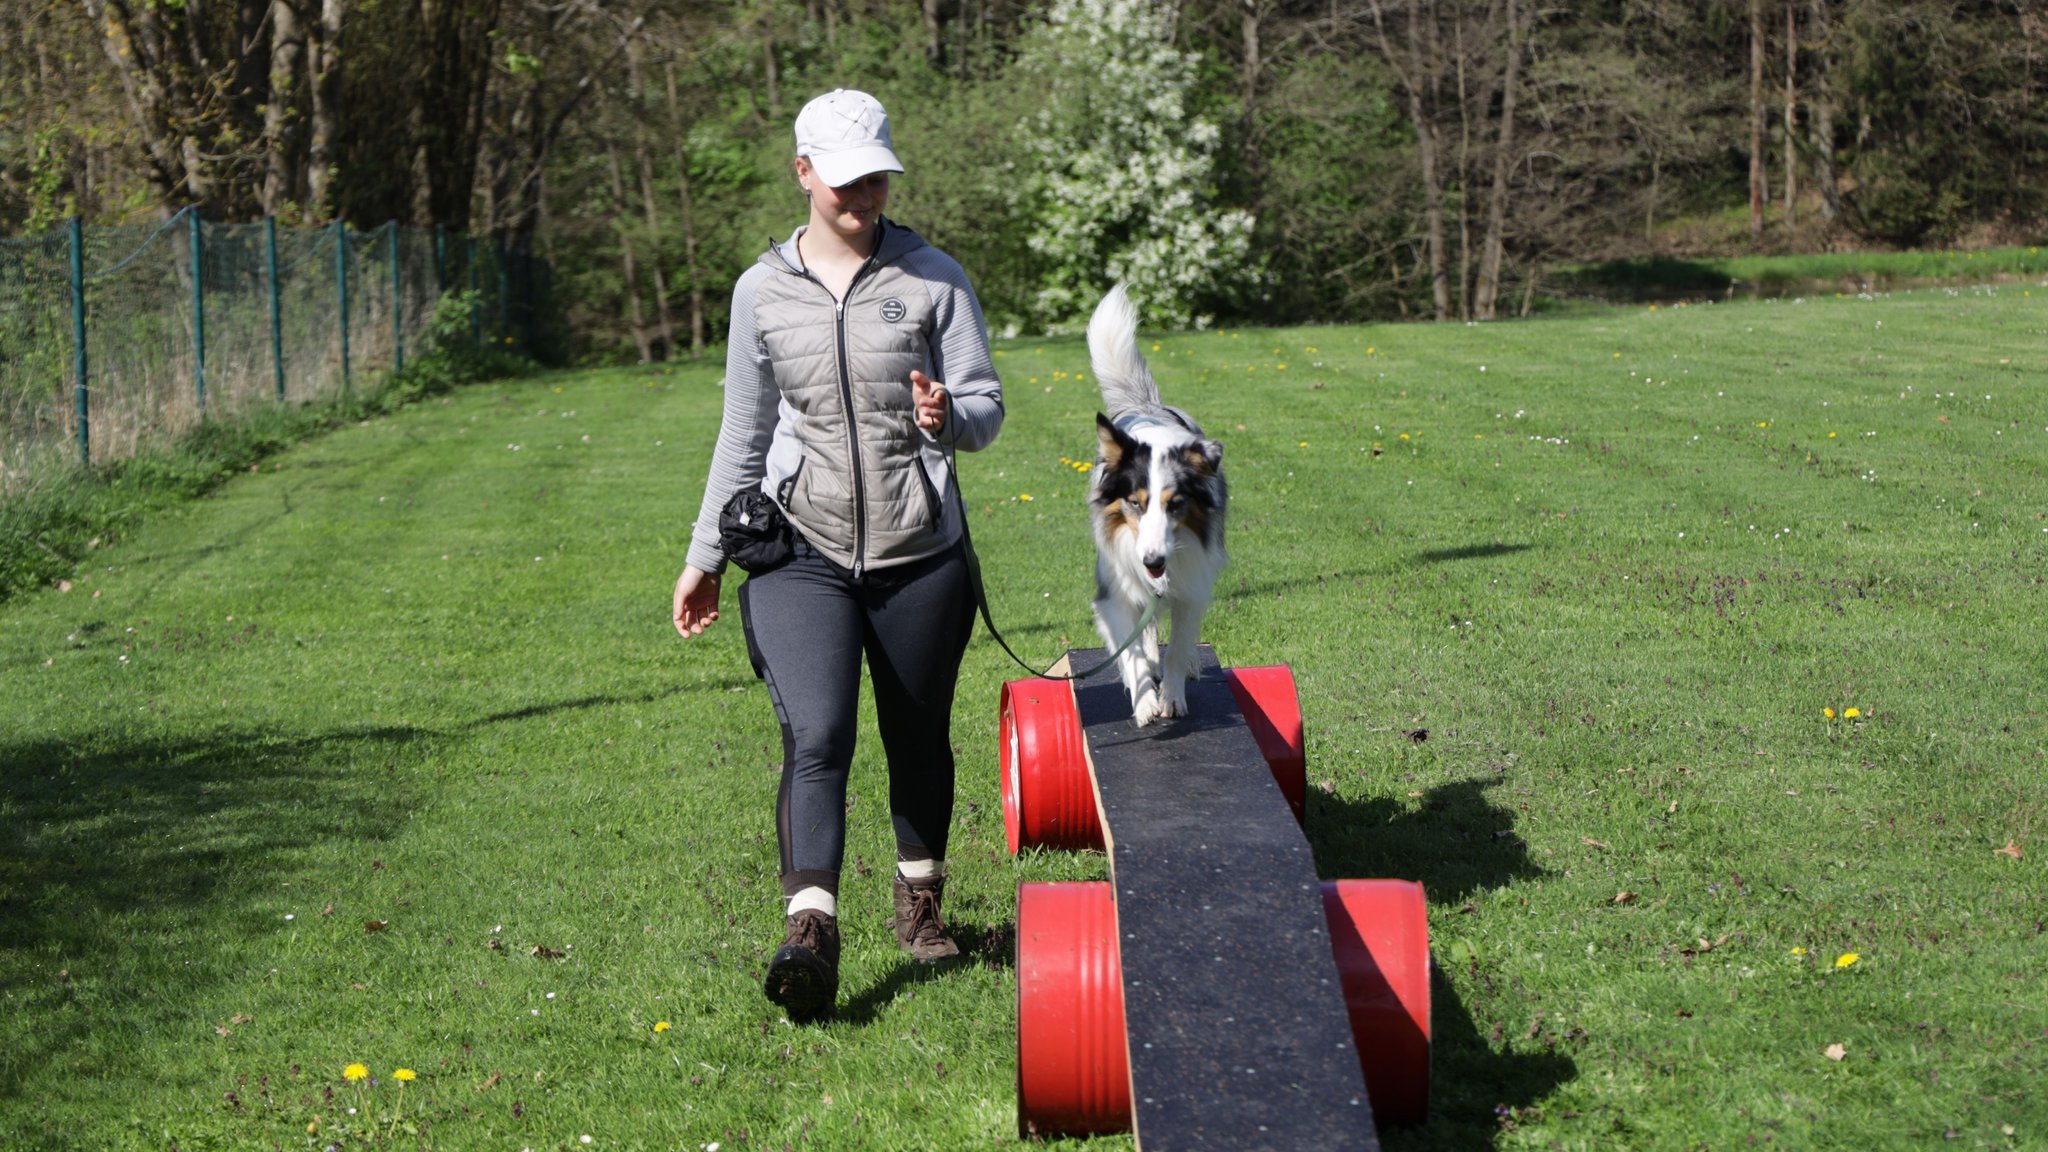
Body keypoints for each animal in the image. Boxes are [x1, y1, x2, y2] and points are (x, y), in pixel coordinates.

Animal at [1097, 282, 1220, 721]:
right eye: (1134, 503)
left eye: (1176, 503)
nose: (1152, 560)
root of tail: (1145, 405)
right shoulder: (1114, 590)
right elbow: (1130, 648)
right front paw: (1145, 698)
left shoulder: (1192, 584)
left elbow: (1179, 644)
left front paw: (1172, 695)